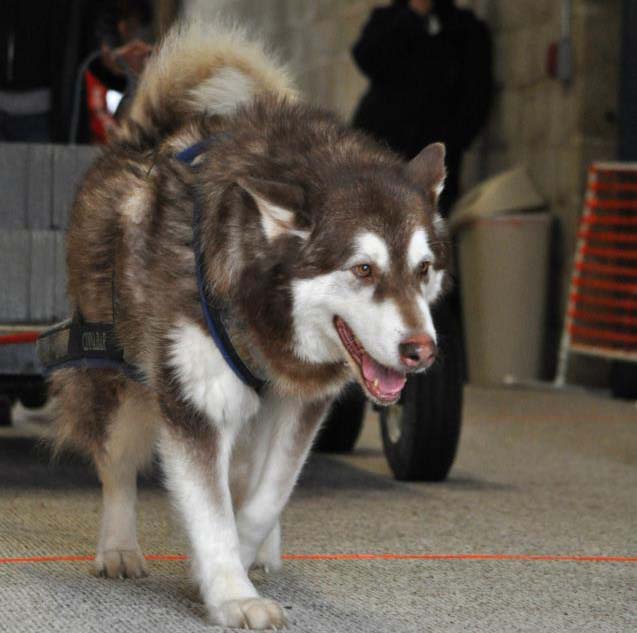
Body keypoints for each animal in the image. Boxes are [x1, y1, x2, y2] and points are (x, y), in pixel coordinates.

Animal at [48, 21, 448, 628]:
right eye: (362, 269)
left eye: (423, 269)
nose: (420, 350)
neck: (264, 310)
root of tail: (143, 137)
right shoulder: (196, 401)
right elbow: (211, 510)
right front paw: (232, 592)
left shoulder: (301, 403)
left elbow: (267, 495)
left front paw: (235, 558)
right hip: (122, 379)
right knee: (116, 466)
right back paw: (118, 545)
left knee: (245, 474)